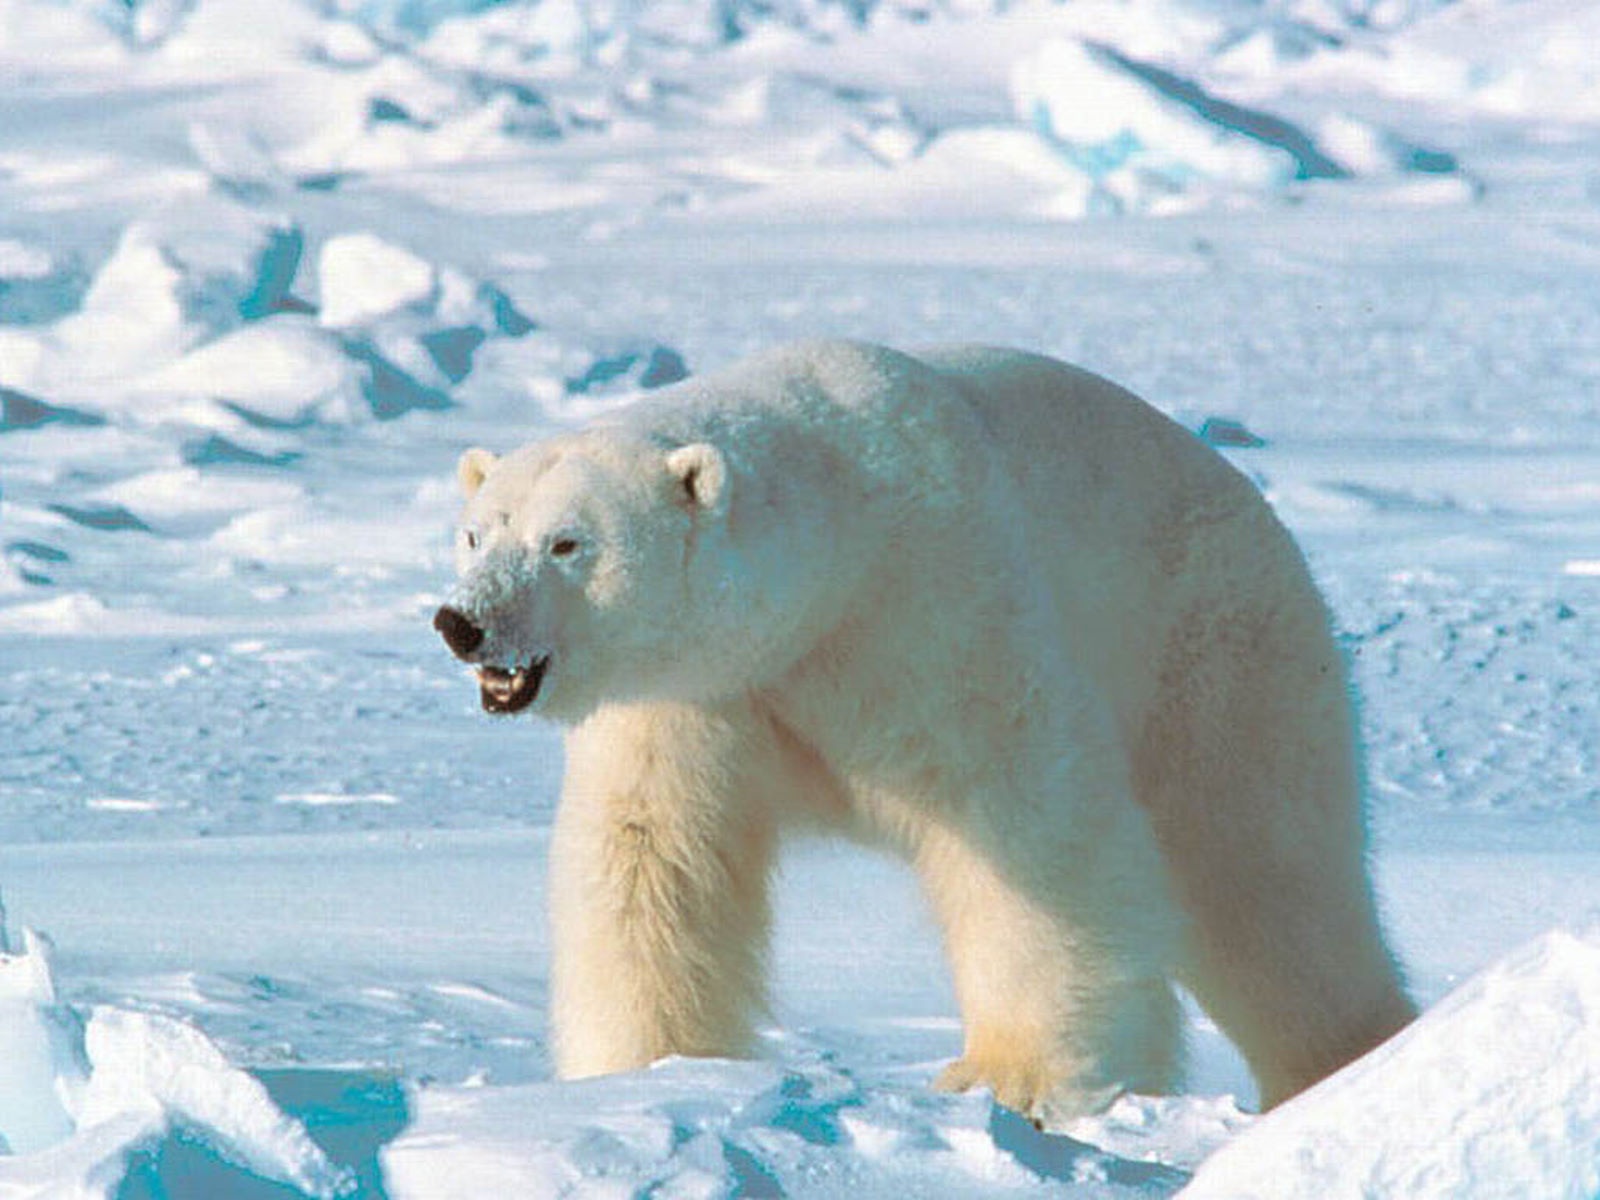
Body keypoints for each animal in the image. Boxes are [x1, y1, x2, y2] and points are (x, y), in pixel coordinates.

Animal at [432, 339, 1415, 1122]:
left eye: (567, 543)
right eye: (476, 536)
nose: (462, 623)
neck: (829, 572)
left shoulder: (933, 609)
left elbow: (1026, 828)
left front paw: (1016, 1079)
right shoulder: (693, 696)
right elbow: (651, 855)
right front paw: (640, 1074)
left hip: (1217, 656)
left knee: (1267, 877)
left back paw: (1345, 1066)